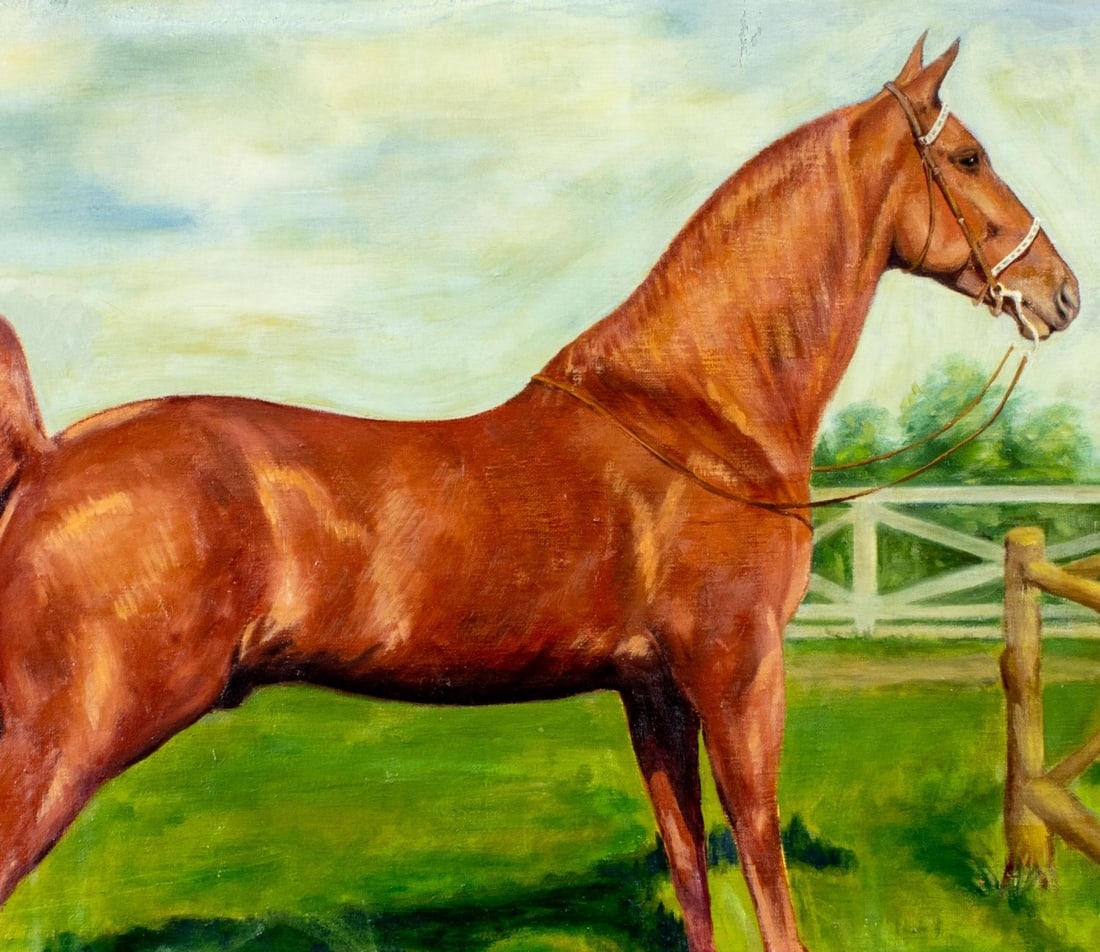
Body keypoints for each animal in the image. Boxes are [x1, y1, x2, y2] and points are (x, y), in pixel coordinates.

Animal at [0, 36, 1079, 952]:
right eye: (970, 156)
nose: (1060, 293)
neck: (697, 410)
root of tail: (45, 456)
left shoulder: (652, 690)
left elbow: (689, 861)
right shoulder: (737, 670)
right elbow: (760, 849)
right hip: (57, 746)